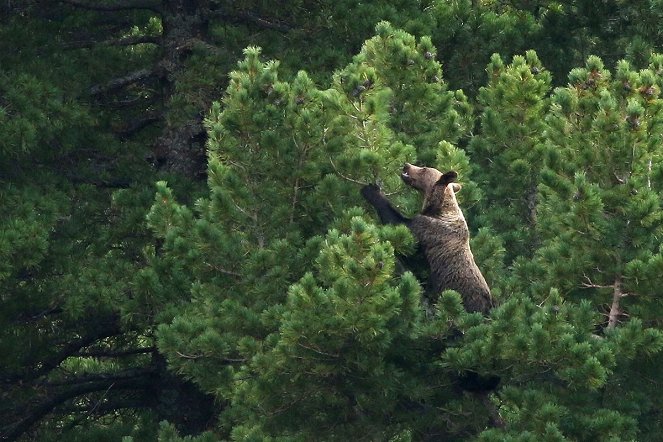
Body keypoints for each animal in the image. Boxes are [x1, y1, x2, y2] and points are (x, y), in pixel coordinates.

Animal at [364, 163, 492, 314]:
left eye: (424, 168)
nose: (406, 165)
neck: (438, 209)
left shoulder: (429, 232)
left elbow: (401, 226)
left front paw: (371, 191)